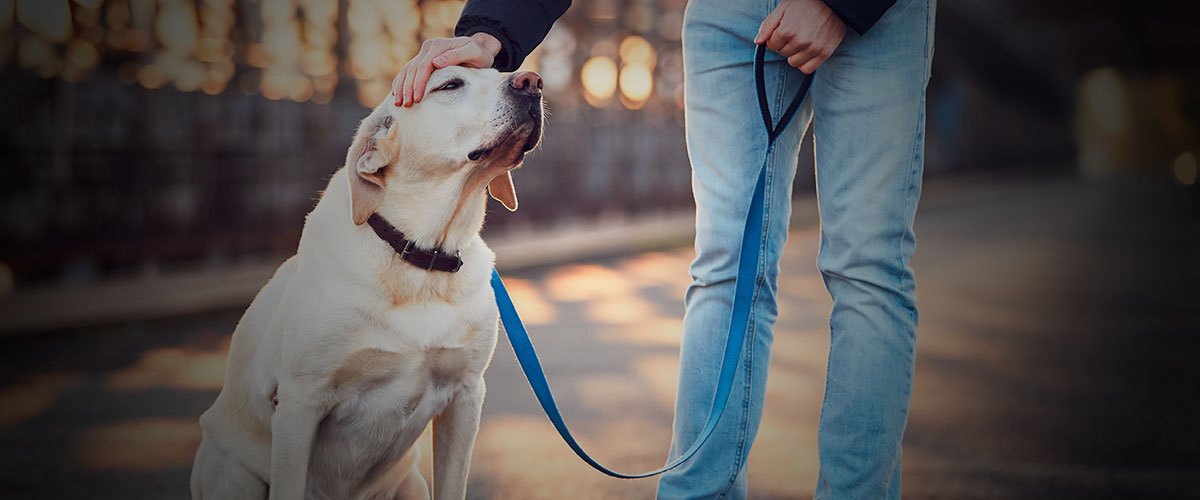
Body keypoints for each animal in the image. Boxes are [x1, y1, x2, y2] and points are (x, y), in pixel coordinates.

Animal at [189, 67, 547, 498]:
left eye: (498, 71)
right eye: (449, 85)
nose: (532, 82)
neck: (420, 259)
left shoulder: (466, 395)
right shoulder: (299, 403)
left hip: (409, 481)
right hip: (234, 473)